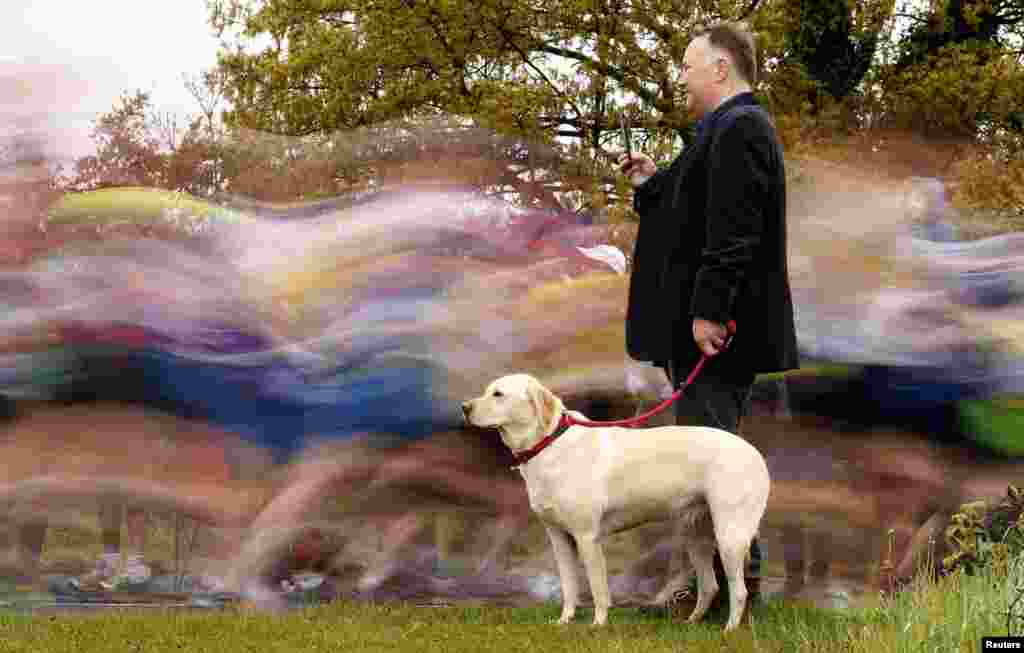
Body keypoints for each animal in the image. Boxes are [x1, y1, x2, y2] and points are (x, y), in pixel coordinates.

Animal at [462, 376, 770, 630]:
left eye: (498, 394)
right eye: (487, 390)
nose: (464, 407)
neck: (548, 444)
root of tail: (754, 451)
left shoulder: (587, 537)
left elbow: (598, 589)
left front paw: (598, 625)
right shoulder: (559, 538)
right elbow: (569, 586)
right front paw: (564, 621)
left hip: (730, 536)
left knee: (738, 591)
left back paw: (729, 630)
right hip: (696, 536)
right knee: (710, 586)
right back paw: (691, 622)